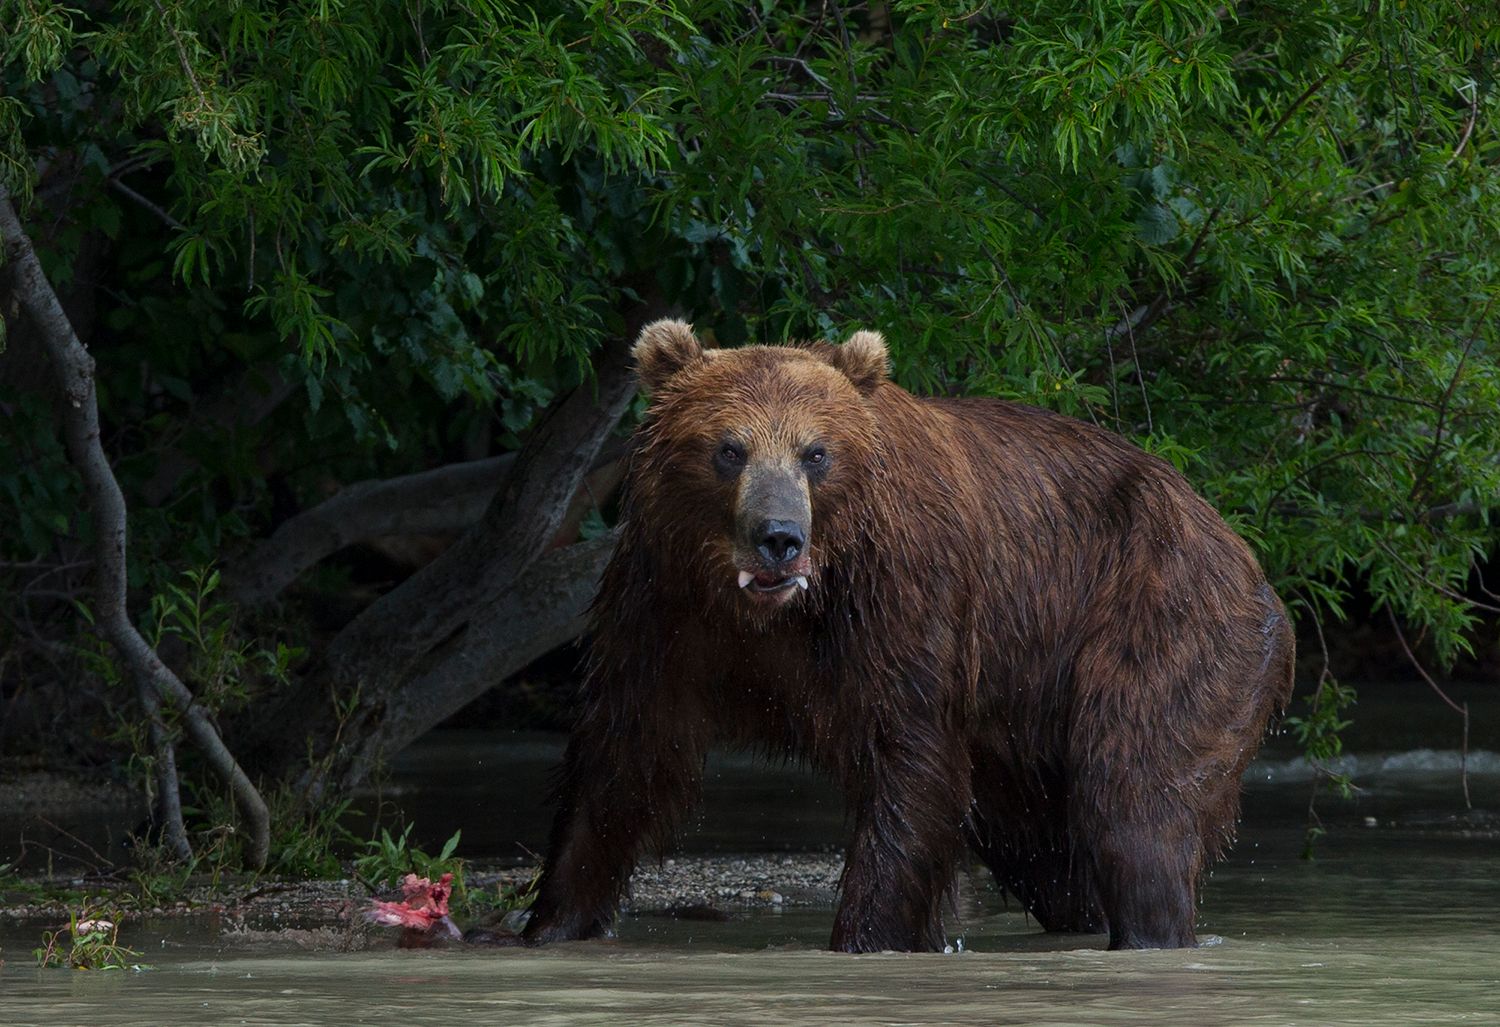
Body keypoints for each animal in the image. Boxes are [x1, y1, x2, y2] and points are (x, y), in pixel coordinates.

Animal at [516, 319, 1295, 952]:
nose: (780, 537)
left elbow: (910, 763)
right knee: (1049, 854)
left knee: (1136, 800)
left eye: (816, 452)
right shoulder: (662, 609)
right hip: (1023, 724)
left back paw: (1150, 924)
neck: (772, 613)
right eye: (729, 448)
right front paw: (550, 922)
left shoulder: (901, 598)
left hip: (1158, 618)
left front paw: (866, 936)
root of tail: (1236, 544)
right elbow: (622, 763)